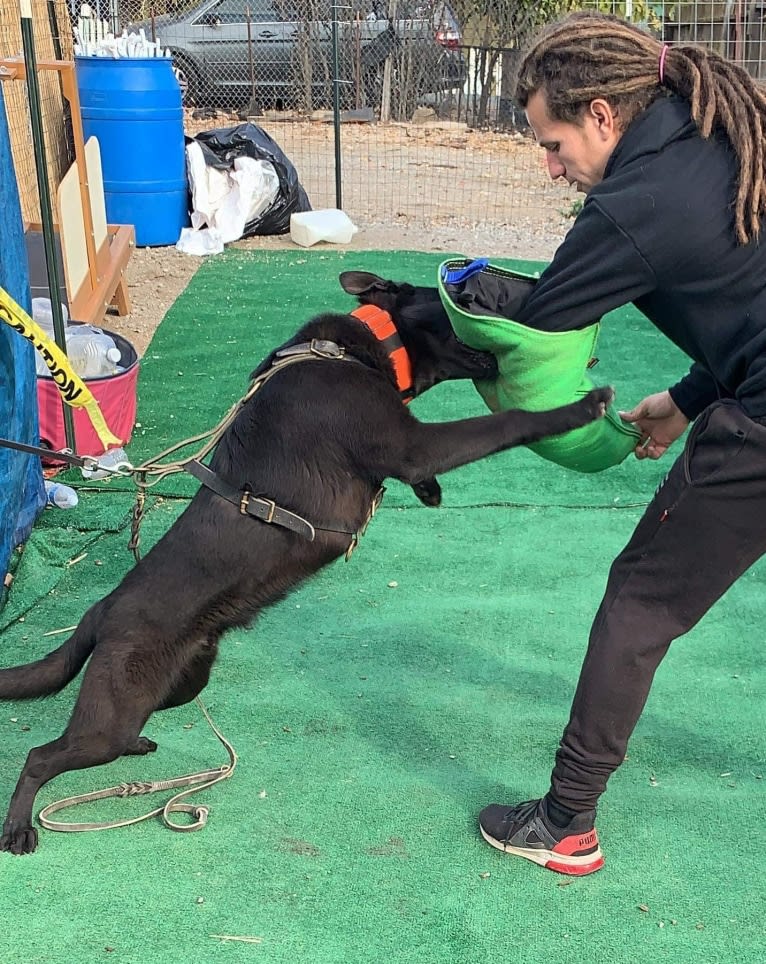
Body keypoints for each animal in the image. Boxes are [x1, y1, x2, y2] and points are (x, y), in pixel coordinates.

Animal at [0, 272, 612, 852]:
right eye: (460, 299)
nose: (518, 310)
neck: (359, 347)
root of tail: (100, 611)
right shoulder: (413, 444)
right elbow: (505, 424)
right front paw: (582, 407)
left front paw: (430, 492)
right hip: (116, 707)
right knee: (40, 756)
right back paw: (19, 827)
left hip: (178, 682)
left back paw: (137, 747)